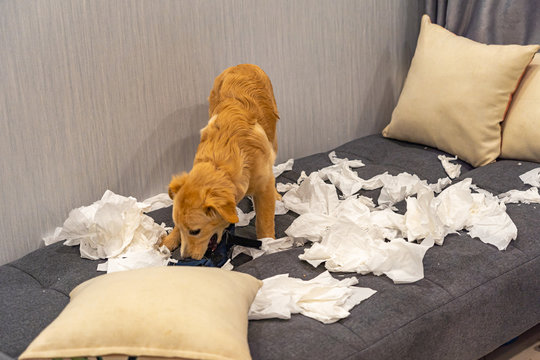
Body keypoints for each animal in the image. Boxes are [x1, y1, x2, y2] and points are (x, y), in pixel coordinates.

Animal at [159, 64, 278, 260]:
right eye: (182, 228)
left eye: (195, 231)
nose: (185, 258)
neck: (220, 163)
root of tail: (242, 65)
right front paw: (168, 241)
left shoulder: (263, 186)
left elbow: (264, 221)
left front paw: (269, 245)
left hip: (273, 135)